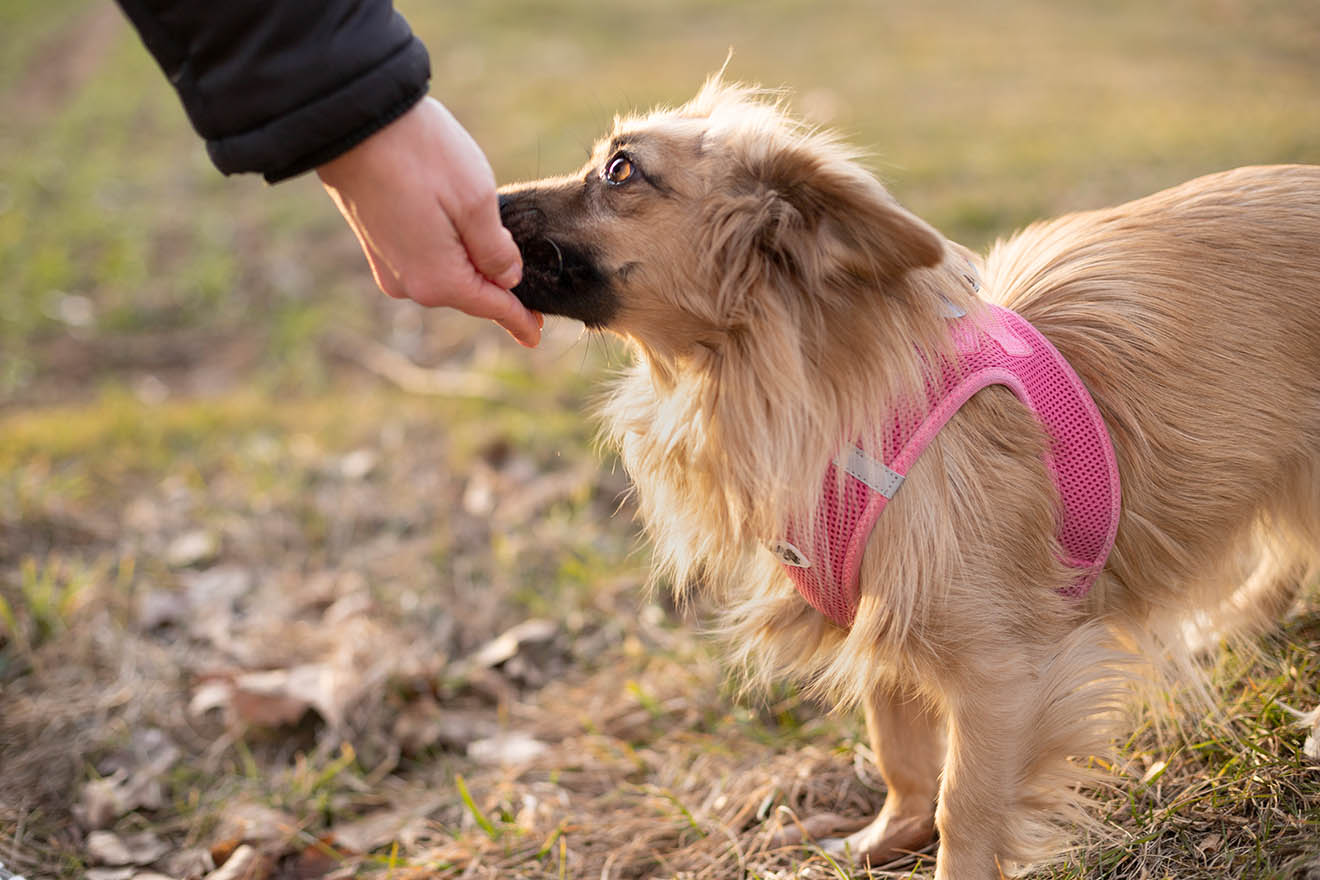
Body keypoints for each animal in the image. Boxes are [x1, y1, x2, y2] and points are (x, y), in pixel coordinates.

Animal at [496, 79, 1320, 876]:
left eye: (620, 169)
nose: (490, 196)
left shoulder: (1002, 671)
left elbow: (966, 806)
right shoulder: (881, 610)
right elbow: (900, 750)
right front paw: (885, 837)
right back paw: (1235, 623)